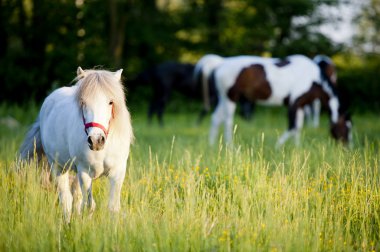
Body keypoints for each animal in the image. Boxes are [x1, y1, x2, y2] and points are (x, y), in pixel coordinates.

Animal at [20, 67, 135, 222]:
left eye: (111, 102)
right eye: (83, 102)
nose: (96, 140)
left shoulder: (117, 172)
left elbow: (113, 208)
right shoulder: (84, 171)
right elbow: (90, 206)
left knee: (76, 197)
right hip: (58, 167)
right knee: (66, 199)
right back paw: (67, 224)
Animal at [209, 54, 352, 147]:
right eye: (346, 128)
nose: (347, 147)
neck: (314, 79)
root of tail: (221, 63)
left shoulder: (300, 105)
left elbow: (298, 127)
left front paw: (297, 149)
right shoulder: (294, 104)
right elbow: (292, 127)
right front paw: (277, 147)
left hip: (223, 98)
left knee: (216, 118)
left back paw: (212, 145)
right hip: (231, 97)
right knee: (227, 121)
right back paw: (230, 146)